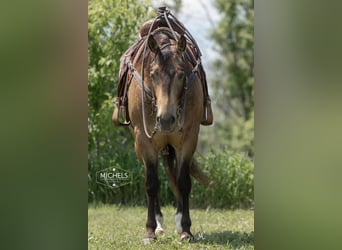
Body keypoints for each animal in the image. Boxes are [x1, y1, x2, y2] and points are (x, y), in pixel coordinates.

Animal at [112, 7, 212, 242]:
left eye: (182, 74)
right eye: (152, 73)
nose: (166, 119)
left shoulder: (189, 138)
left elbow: (183, 181)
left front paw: (185, 229)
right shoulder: (144, 140)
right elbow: (151, 184)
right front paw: (150, 230)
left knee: (172, 173)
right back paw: (158, 224)